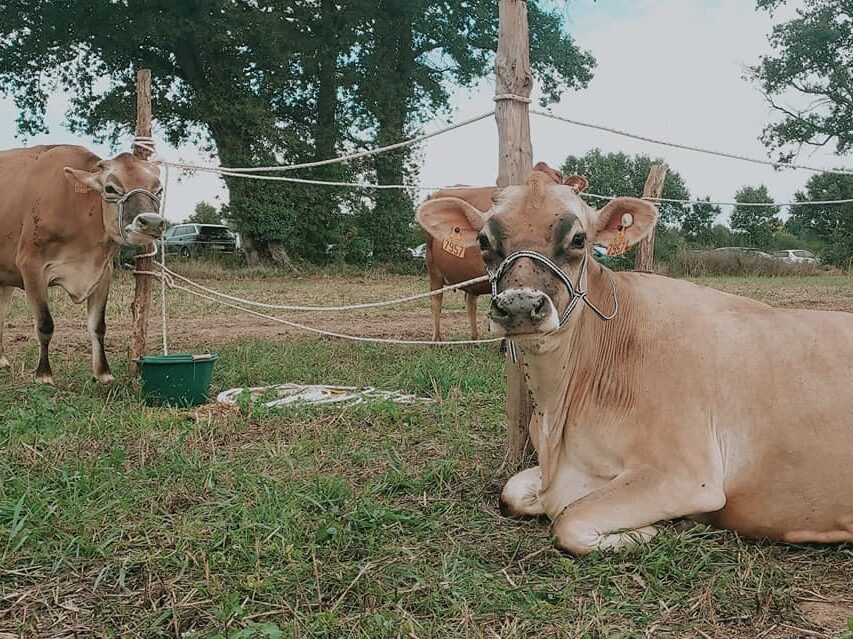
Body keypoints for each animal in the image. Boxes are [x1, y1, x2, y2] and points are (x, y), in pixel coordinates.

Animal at [0, 146, 166, 384]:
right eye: (110, 188)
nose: (151, 222)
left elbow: (98, 326)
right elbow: (45, 324)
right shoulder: (31, 267)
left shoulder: (103, 273)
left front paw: (103, 373)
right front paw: (44, 374)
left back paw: (2, 360)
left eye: (159, 189)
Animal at [420, 162, 584, 342]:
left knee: (471, 302)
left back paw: (474, 338)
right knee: (436, 300)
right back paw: (437, 338)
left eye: (558, 176)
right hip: (432, 267)